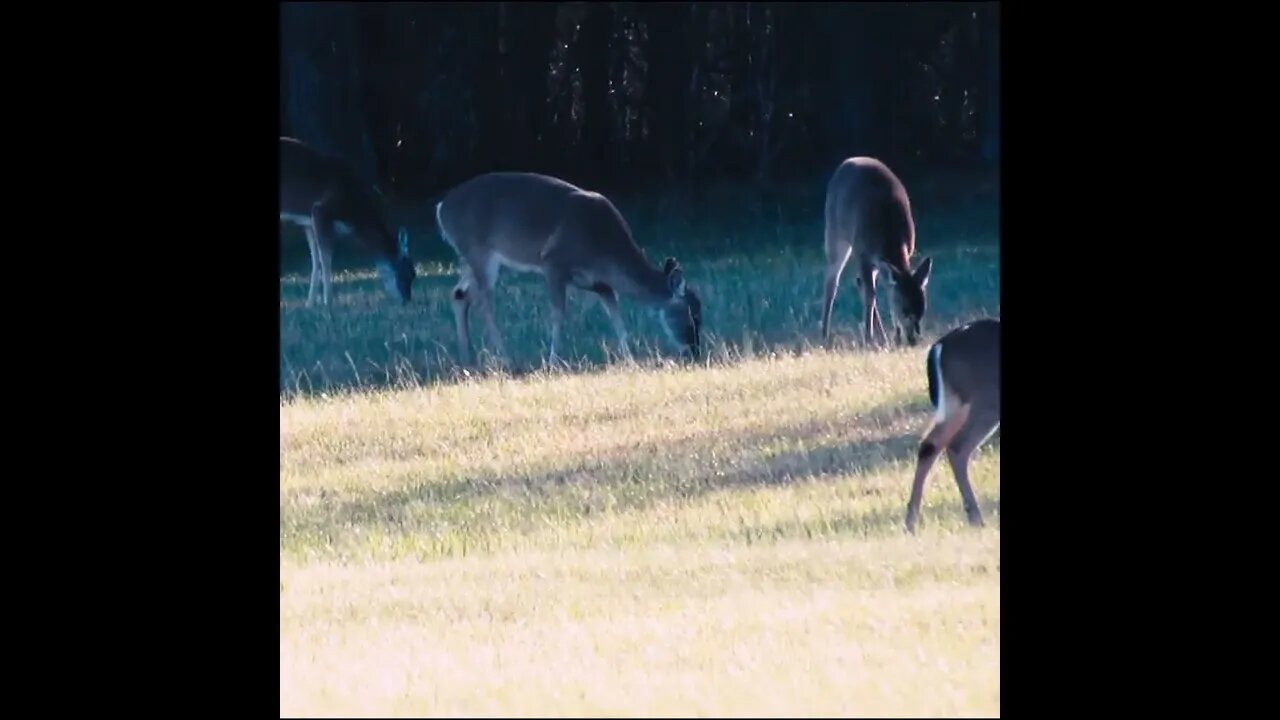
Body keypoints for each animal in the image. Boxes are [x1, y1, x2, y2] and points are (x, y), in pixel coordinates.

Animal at [279, 135, 414, 303]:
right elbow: (325, 258)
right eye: (407, 273)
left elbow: (315, 259)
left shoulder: (307, 222)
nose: (406, 300)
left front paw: (310, 303)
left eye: (414, 275)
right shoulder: (321, 210)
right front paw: (328, 302)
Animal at [435, 171, 706, 366]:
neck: (604, 249)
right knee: (483, 302)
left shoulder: (599, 282)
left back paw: (467, 358)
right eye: (692, 314)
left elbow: (615, 315)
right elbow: (558, 314)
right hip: (479, 250)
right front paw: (553, 361)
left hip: (471, 258)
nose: (694, 351)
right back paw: (506, 357)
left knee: (459, 294)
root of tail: (441, 208)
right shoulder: (552, 262)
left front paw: (629, 358)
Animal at [824, 155, 936, 345]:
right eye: (905, 310)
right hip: (835, 232)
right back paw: (824, 335)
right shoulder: (862, 251)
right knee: (832, 281)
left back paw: (883, 337)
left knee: (861, 282)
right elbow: (871, 295)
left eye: (922, 309)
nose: (913, 340)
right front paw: (868, 339)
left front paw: (895, 337)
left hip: (874, 262)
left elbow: (887, 291)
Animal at [901, 316, 998, 530]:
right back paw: (976, 518)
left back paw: (911, 521)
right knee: (958, 446)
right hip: (985, 402)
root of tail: (939, 346)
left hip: (957, 403)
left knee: (930, 445)